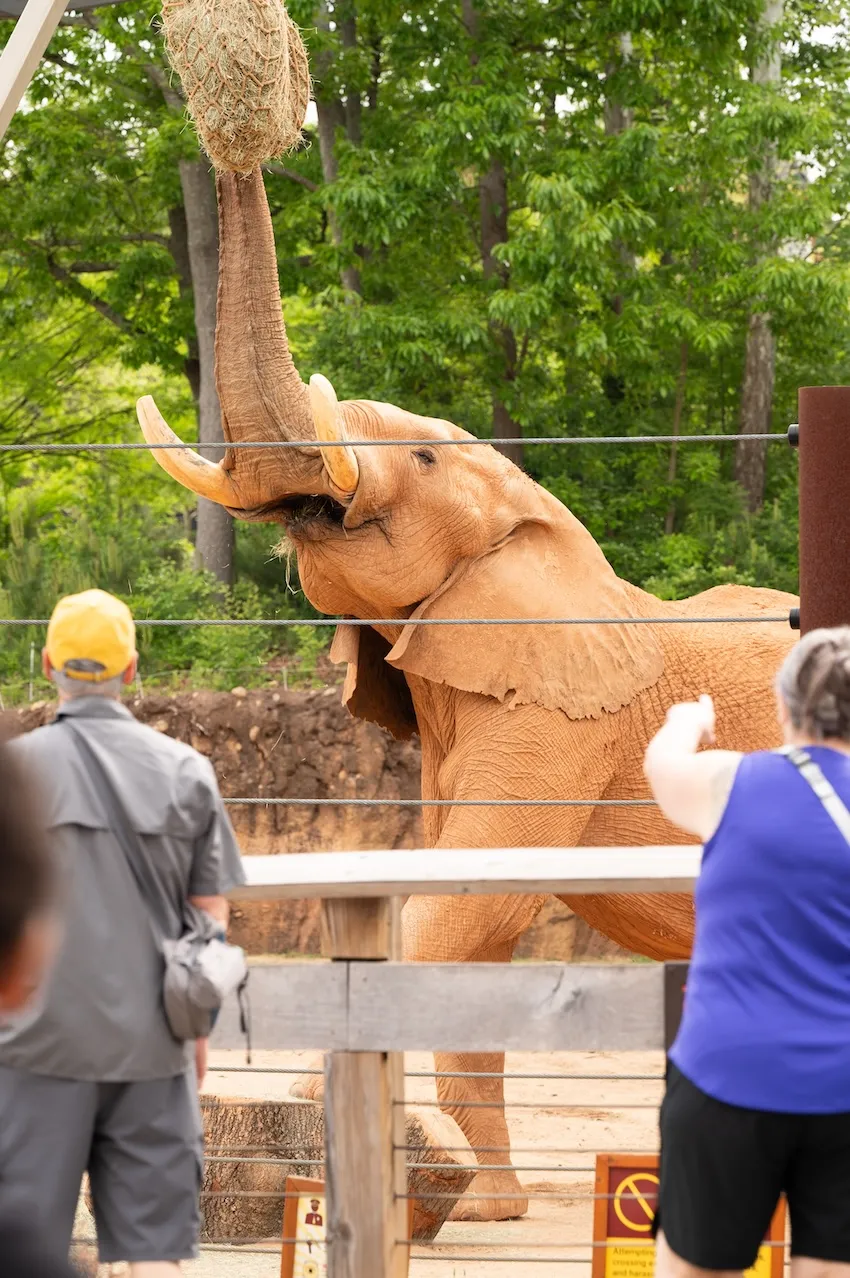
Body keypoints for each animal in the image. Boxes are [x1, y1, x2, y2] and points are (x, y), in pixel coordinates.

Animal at [137, 167, 797, 1222]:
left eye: (424, 459)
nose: (240, 153)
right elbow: (471, 918)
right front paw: (486, 1207)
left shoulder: (565, 722)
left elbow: (470, 899)